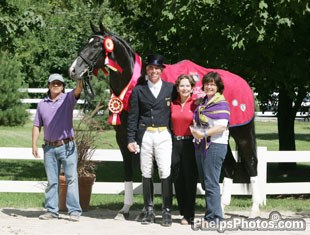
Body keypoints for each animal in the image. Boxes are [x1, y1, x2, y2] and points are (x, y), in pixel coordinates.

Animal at [69, 23, 262, 219]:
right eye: (87, 42)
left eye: (96, 45)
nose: (73, 70)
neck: (134, 83)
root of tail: (245, 84)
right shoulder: (123, 137)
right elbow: (129, 170)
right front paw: (125, 209)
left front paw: (146, 210)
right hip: (220, 133)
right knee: (230, 166)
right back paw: (221, 207)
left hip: (242, 132)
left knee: (251, 163)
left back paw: (253, 210)